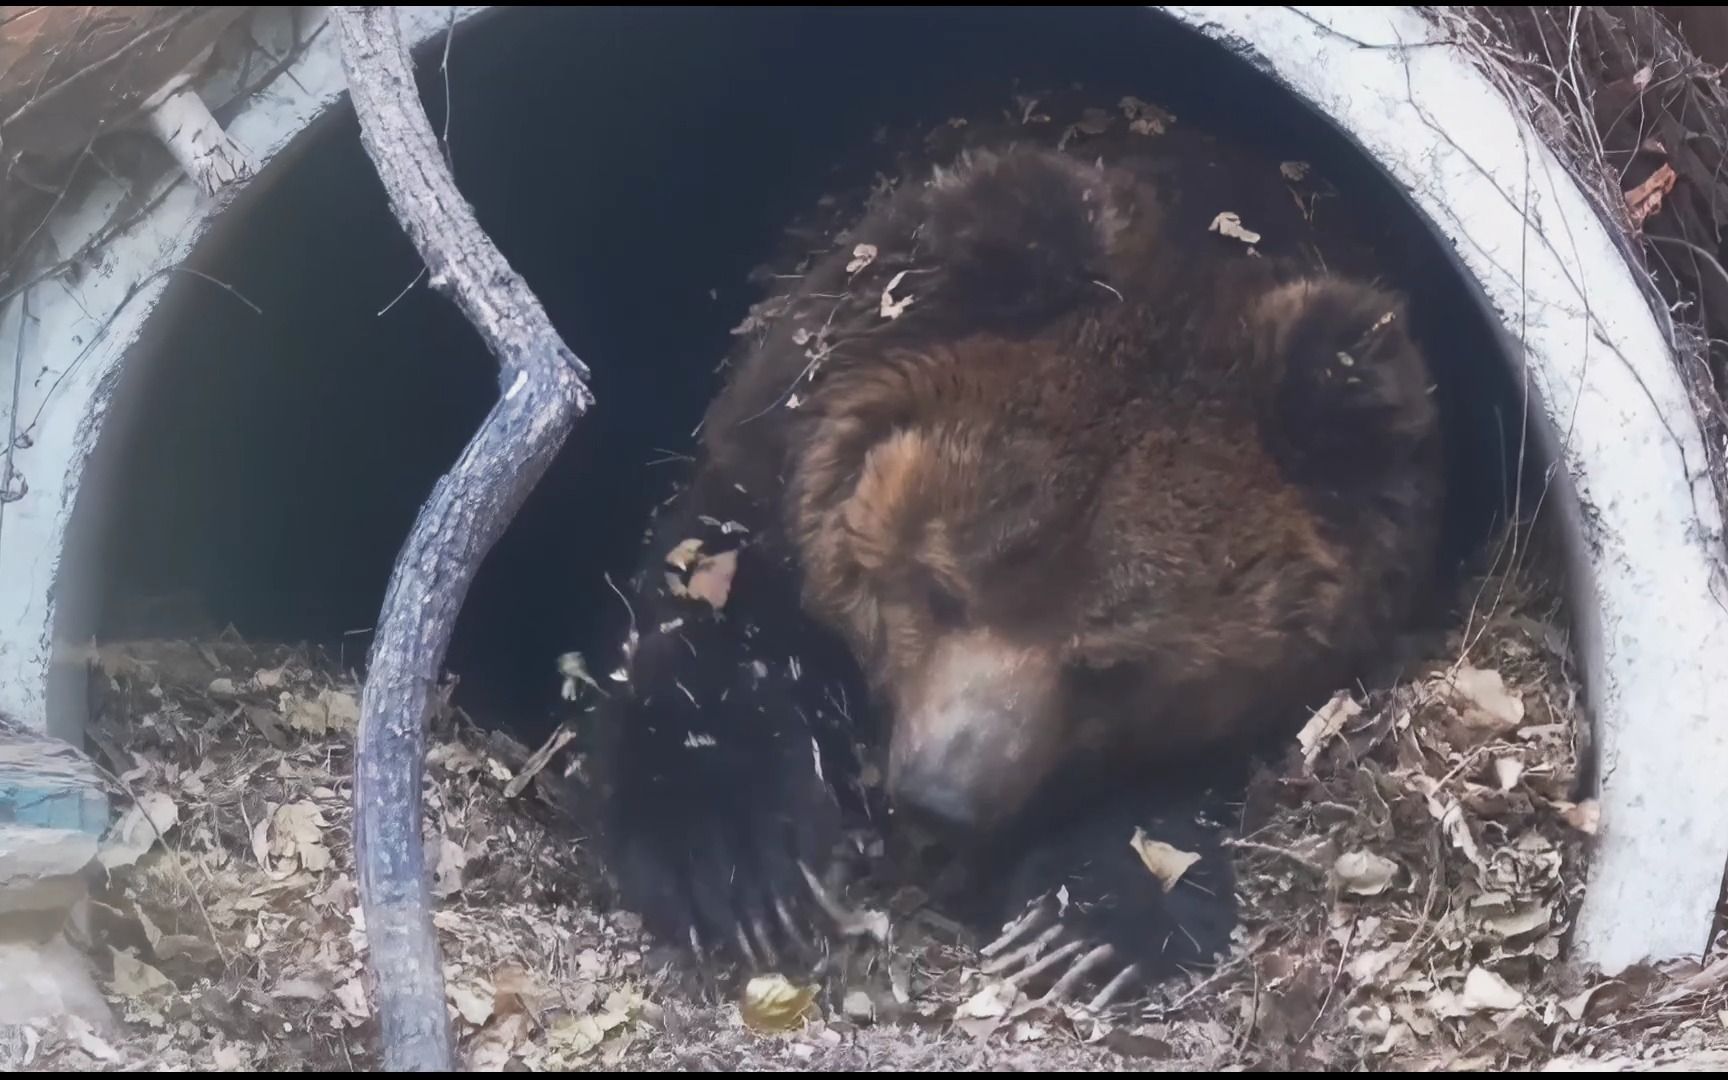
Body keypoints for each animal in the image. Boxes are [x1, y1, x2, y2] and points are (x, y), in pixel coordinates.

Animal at [594, 121, 1444, 995]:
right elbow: (710, 607)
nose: (941, 798)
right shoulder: (778, 446)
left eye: (1113, 665)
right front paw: (740, 870)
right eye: (941, 585)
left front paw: (1079, 924)